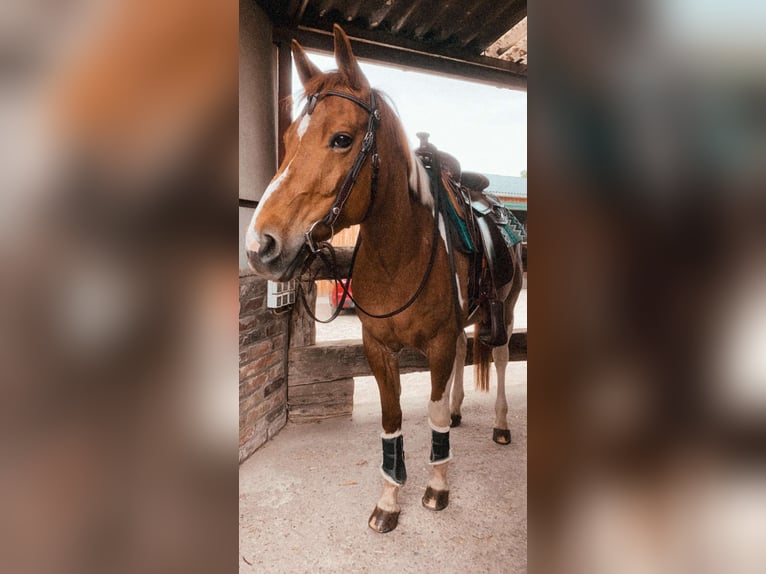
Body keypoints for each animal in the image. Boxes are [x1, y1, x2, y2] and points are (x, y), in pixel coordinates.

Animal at [246, 23, 520, 536]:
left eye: (341, 138)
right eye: (289, 138)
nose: (260, 246)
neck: (402, 253)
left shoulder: (435, 342)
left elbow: (431, 410)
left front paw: (436, 486)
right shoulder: (378, 347)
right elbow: (392, 419)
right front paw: (391, 497)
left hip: (507, 310)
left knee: (497, 357)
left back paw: (500, 425)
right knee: (465, 354)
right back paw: (460, 412)